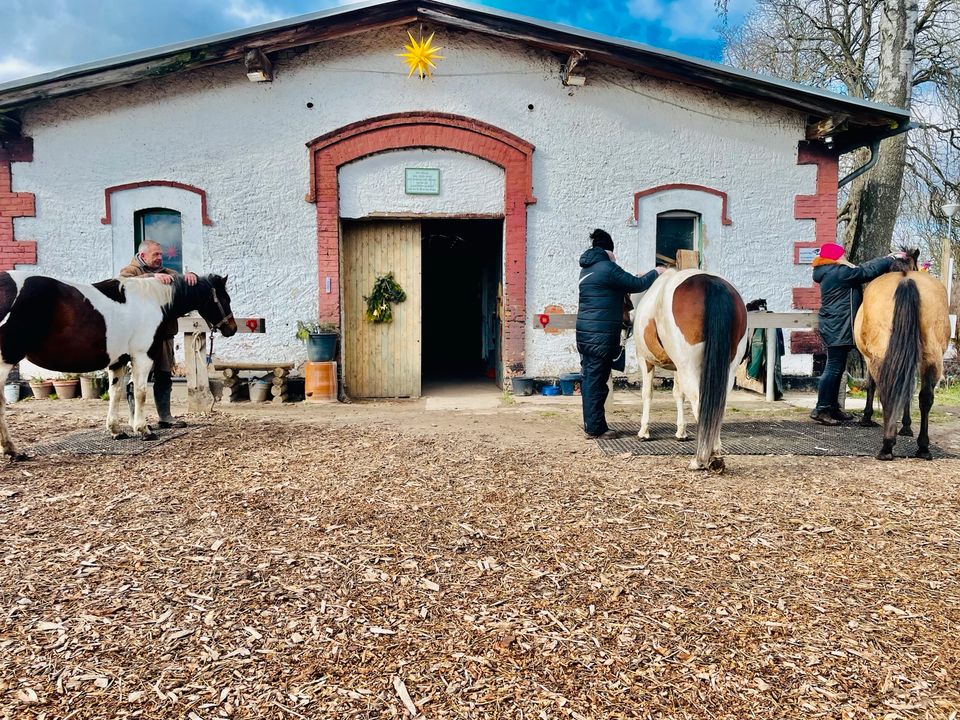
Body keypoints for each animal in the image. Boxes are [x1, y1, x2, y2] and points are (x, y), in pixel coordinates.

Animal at [0, 272, 238, 458]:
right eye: (224, 298)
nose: (232, 328)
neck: (151, 300)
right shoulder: (142, 357)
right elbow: (140, 393)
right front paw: (144, 430)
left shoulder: (118, 361)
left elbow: (116, 393)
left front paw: (116, 430)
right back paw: (13, 450)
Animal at [632, 268, 752, 472]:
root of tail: (712, 284)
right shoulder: (676, 367)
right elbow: (678, 394)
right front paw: (681, 431)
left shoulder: (645, 360)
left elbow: (647, 393)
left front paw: (644, 431)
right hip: (726, 369)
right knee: (718, 405)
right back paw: (715, 453)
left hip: (688, 367)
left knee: (698, 401)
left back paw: (703, 458)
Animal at [856, 250, 952, 458]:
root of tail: (906, 281)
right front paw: (906, 427)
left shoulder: (869, 359)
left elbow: (871, 385)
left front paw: (867, 417)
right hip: (932, 358)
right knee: (926, 397)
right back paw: (923, 447)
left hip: (881, 357)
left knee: (887, 392)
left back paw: (887, 445)